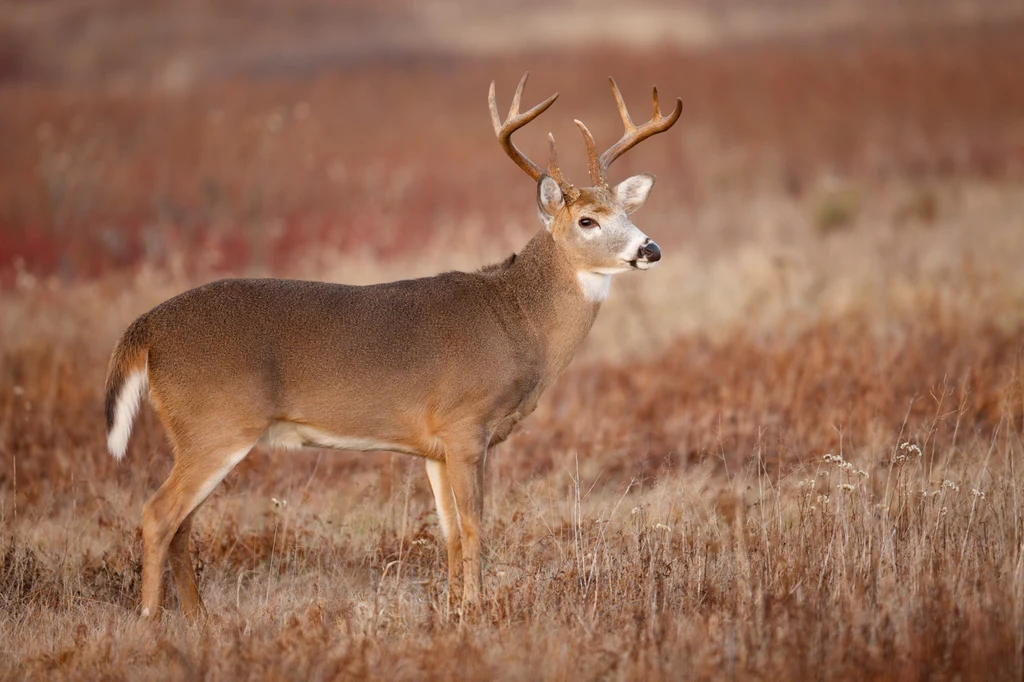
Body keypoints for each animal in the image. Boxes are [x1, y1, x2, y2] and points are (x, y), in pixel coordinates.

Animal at [103, 71, 684, 618]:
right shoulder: (465, 424)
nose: (650, 248)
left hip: (200, 433)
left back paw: (200, 621)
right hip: (217, 424)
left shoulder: (434, 446)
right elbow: (475, 527)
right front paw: (477, 611)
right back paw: (152, 622)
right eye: (587, 220)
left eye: (627, 214)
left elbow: (448, 532)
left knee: (181, 523)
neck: (518, 321)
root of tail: (145, 328)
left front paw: (452, 610)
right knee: (158, 514)